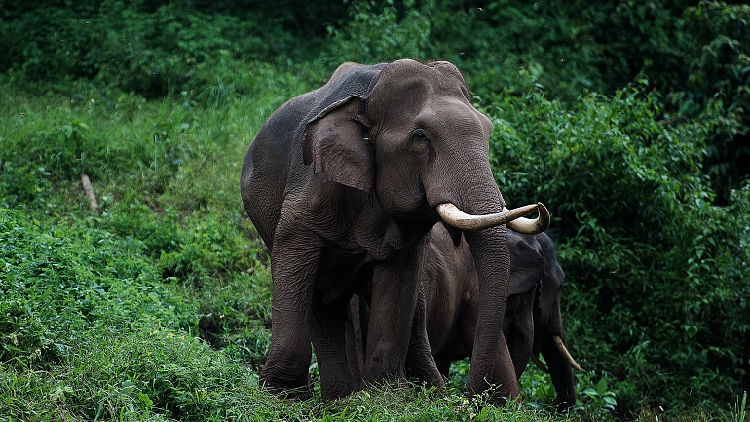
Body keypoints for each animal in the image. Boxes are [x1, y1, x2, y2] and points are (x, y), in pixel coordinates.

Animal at [242, 58, 552, 398]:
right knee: (320, 299)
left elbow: (399, 279)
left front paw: (383, 396)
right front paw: (280, 396)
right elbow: (294, 255)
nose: (473, 399)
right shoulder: (309, 188)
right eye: (420, 137)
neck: (370, 94)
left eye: (488, 132)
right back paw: (337, 398)